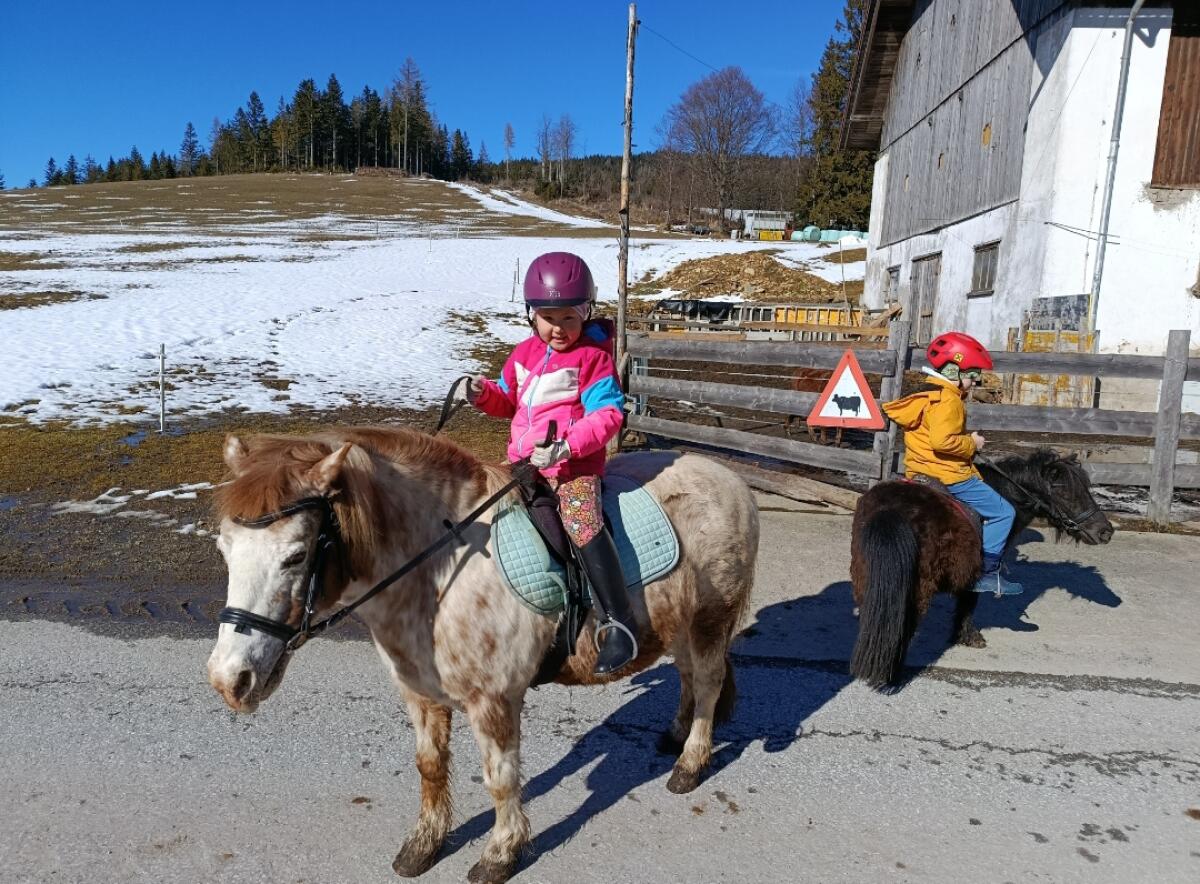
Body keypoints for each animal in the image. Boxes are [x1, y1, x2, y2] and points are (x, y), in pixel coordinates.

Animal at [206, 427, 759, 883]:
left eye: (296, 556)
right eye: (225, 549)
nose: (230, 679)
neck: (438, 571)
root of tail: (728, 477)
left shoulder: (493, 699)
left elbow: (501, 778)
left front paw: (501, 853)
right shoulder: (420, 694)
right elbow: (429, 765)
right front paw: (424, 846)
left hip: (711, 617)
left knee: (709, 681)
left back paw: (690, 763)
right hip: (677, 621)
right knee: (688, 675)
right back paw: (675, 734)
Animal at [849, 449, 1114, 690]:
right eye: (1065, 492)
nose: (1106, 532)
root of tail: (889, 511)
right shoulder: (975, 573)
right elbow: (970, 602)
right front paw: (970, 637)